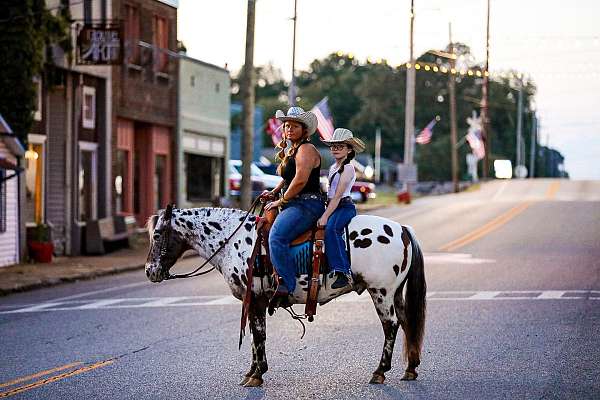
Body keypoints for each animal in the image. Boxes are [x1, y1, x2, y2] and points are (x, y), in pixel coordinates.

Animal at [145, 205, 426, 386]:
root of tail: (402, 229)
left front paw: (256, 375)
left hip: (381, 292)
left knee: (390, 326)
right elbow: (255, 337)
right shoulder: (253, 302)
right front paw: (252, 371)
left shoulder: (256, 300)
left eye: (157, 234)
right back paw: (410, 368)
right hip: (395, 294)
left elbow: (259, 336)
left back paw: (380, 371)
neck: (235, 241)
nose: (150, 270)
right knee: (407, 323)